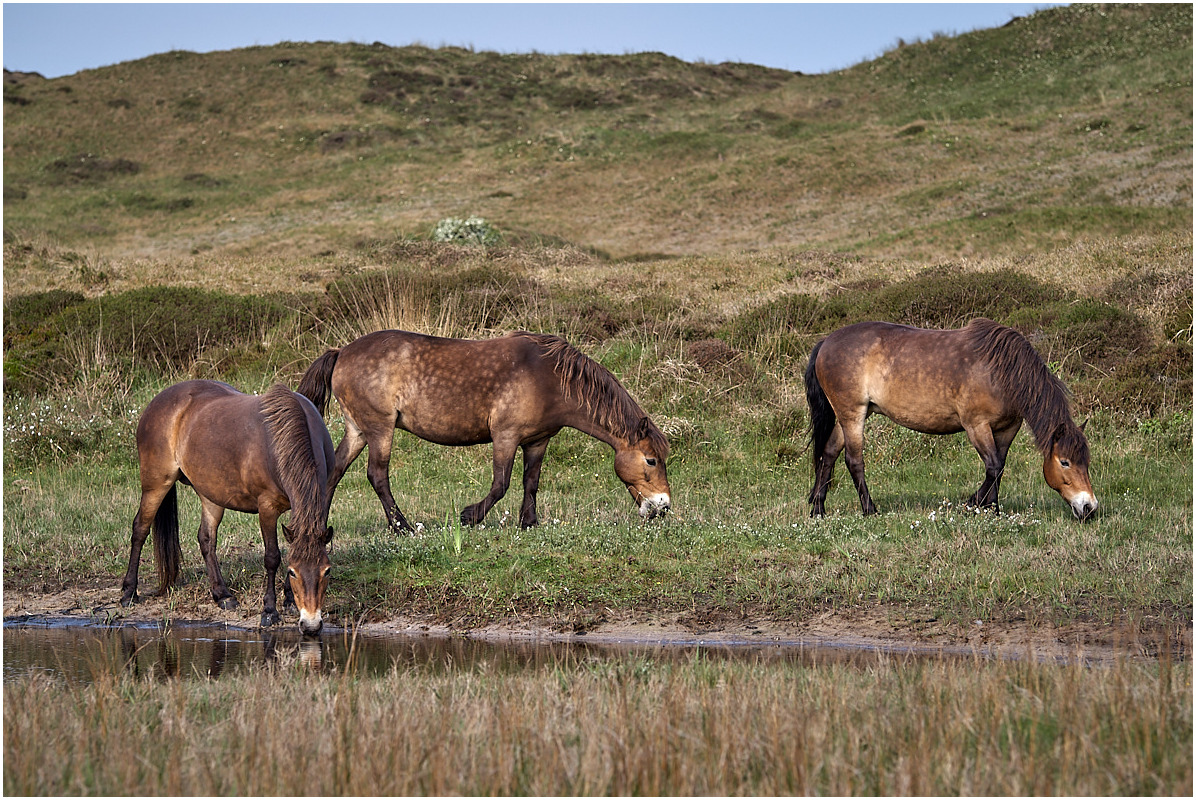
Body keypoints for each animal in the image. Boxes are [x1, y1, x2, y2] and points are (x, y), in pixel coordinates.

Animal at [120, 377, 334, 631]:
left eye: (326, 571)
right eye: (293, 573)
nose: (311, 624)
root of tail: (156, 403)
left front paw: (290, 601)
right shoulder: (267, 508)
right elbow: (272, 557)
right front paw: (269, 611)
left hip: (211, 494)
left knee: (206, 539)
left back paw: (222, 595)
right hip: (155, 485)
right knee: (140, 530)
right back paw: (128, 592)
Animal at [296, 327, 674, 533]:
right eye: (651, 460)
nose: (662, 506)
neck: (549, 377)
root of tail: (342, 351)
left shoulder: (537, 441)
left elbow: (531, 482)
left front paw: (528, 522)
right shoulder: (505, 435)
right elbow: (501, 483)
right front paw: (470, 516)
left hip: (357, 430)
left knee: (334, 472)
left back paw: (319, 524)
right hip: (379, 429)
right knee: (377, 475)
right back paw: (402, 526)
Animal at [808, 318, 1095, 518]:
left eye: (1086, 462)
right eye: (1065, 462)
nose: (1089, 507)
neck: (1001, 372)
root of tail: (826, 343)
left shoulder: (1007, 428)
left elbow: (1000, 467)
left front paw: (993, 509)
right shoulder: (976, 425)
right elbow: (993, 467)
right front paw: (973, 504)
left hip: (849, 415)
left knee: (829, 453)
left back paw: (818, 509)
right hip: (852, 414)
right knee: (853, 460)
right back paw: (869, 510)